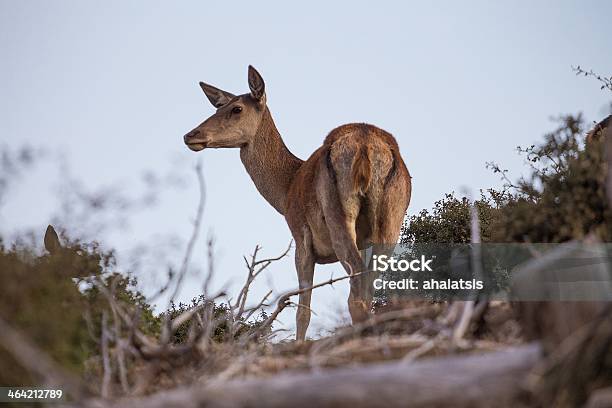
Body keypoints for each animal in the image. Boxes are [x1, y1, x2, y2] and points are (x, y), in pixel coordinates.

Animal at [182, 66, 412, 342]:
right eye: (218, 108)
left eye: (236, 108)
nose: (190, 135)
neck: (285, 190)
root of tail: (366, 146)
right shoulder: (366, 240)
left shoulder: (301, 238)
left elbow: (303, 312)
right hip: (392, 220)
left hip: (337, 214)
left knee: (356, 290)